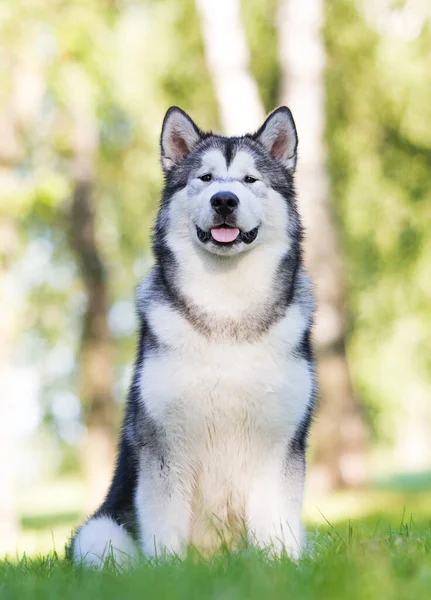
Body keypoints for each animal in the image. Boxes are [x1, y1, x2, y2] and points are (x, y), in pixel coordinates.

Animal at [71, 105, 316, 568]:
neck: (227, 311)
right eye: (204, 178)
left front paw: (279, 570)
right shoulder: (164, 447)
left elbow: (276, 531)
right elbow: (165, 530)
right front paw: (168, 573)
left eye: (249, 179)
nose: (224, 200)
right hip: (97, 534)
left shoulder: (279, 446)